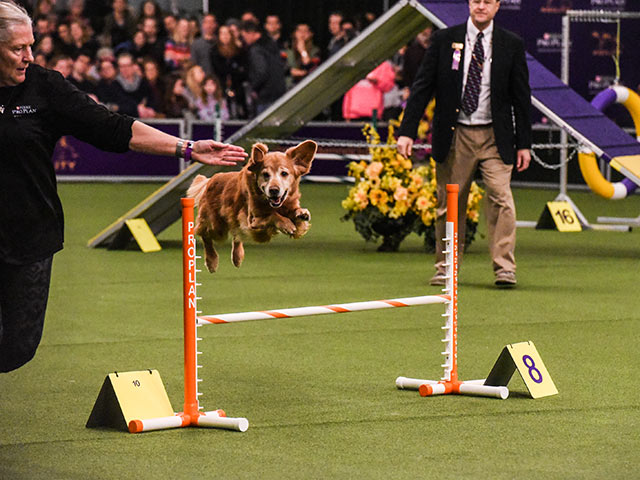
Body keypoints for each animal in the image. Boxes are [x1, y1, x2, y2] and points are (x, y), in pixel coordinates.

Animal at [186, 141, 316, 272]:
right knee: (205, 235)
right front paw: (287, 224)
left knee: (236, 235)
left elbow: (295, 213)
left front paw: (301, 213)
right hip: (217, 226)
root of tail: (211, 180)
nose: (274, 190)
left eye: (284, 173)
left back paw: (237, 257)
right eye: (265, 174)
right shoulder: (252, 221)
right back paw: (211, 261)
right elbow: (273, 215)